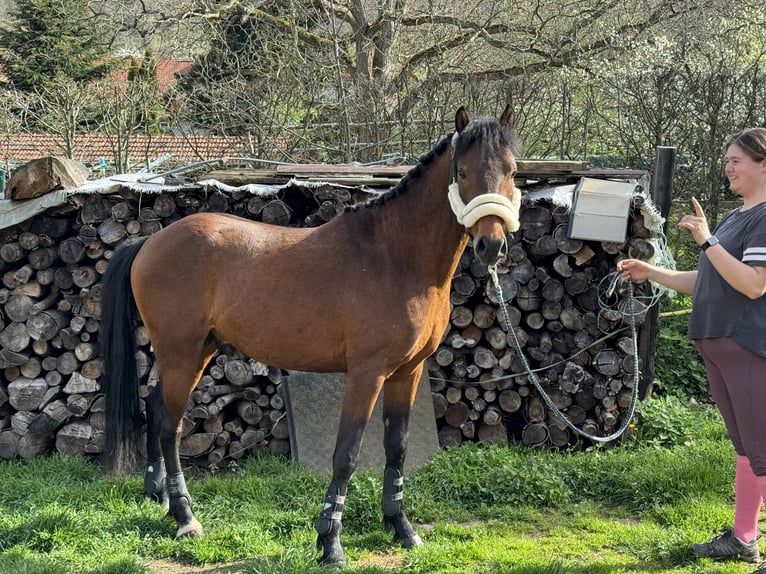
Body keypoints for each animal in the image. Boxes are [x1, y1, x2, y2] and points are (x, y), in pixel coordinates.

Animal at [100, 106, 520, 568]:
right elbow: (347, 454)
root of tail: (150, 241)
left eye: (512, 171)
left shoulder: (407, 373)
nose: (491, 246)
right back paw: (185, 518)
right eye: (461, 171)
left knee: (155, 408)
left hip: (195, 354)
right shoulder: (366, 374)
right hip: (182, 354)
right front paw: (330, 543)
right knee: (170, 427)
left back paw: (158, 495)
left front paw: (401, 528)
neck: (396, 256)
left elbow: (397, 447)